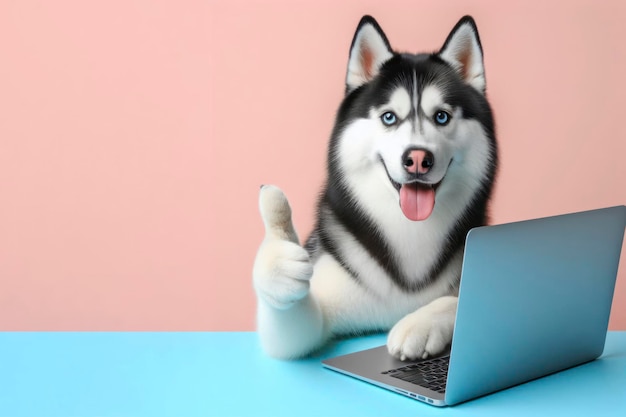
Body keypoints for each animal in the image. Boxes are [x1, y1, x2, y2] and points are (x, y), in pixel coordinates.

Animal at [254, 16, 498, 360]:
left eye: (441, 117)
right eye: (389, 117)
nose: (418, 159)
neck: (409, 229)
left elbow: (459, 300)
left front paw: (420, 322)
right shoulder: (320, 305)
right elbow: (295, 332)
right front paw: (279, 259)